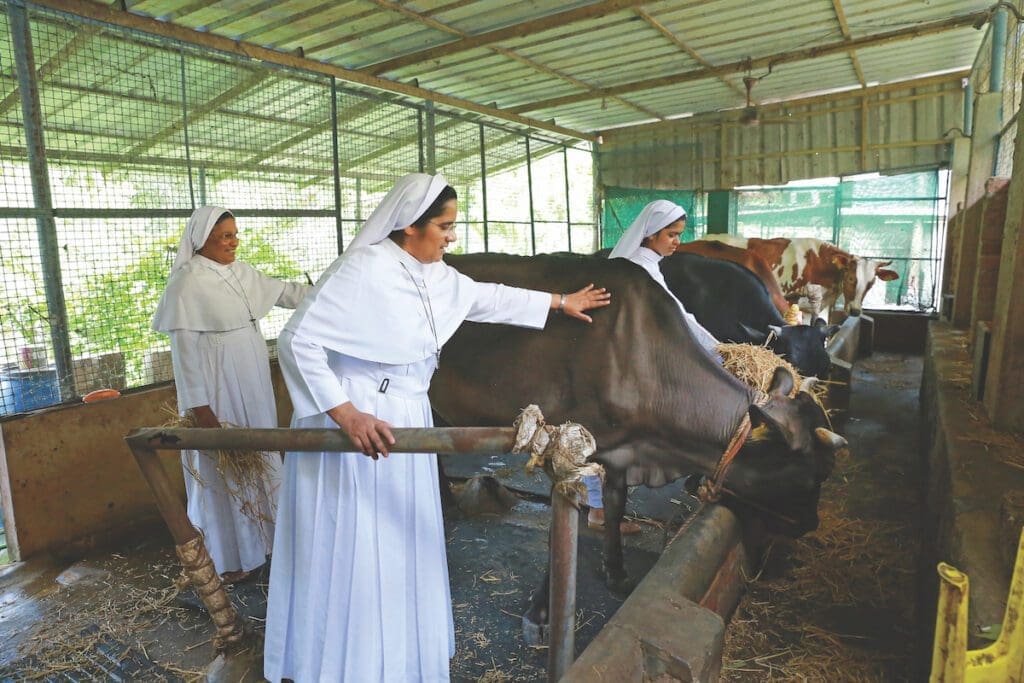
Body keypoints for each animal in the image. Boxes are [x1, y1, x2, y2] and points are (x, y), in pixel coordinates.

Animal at [436, 252, 843, 643]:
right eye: (812, 477)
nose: (810, 525)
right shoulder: (564, 455)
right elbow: (559, 532)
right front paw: (541, 614)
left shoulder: (619, 451)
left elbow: (616, 506)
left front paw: (615, 570)